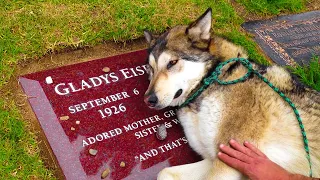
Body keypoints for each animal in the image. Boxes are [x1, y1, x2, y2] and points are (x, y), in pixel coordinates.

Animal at [143, 7, 320, 179]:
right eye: (150, 68)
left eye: (172, 62)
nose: (148, 100)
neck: (209, 83)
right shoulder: (215, 158)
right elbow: (164, 172)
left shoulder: (227, 163)